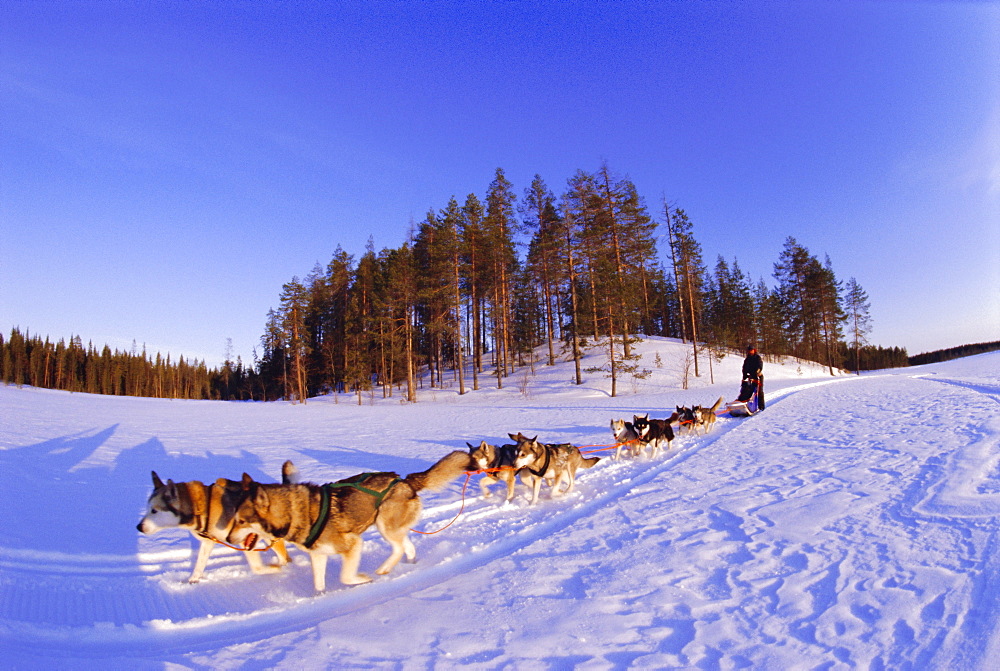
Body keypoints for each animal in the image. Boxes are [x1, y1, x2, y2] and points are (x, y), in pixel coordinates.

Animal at [136, 462, 296, 584]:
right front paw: (192, 580)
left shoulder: (244, 539)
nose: (138, 527)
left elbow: (257, 567)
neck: (203, 507)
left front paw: (274, 569)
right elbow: (199, 565)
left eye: (154, 511)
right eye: (147, 508)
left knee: (285, 557)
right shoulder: (208, 542)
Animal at [227, 452, 476, 592]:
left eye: (241, 521)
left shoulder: (353, 544)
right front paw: (321, 597)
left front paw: (362, 579)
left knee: (397, 548)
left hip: (385, 525)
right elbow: (318, 584)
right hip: (391, 527)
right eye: (234, 519)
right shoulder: (318, 555)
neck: (298, 512)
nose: (228, 538)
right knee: (408, 546)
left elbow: (346, 577)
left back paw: (384, 569)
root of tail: (405, 481)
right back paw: (407, 565)